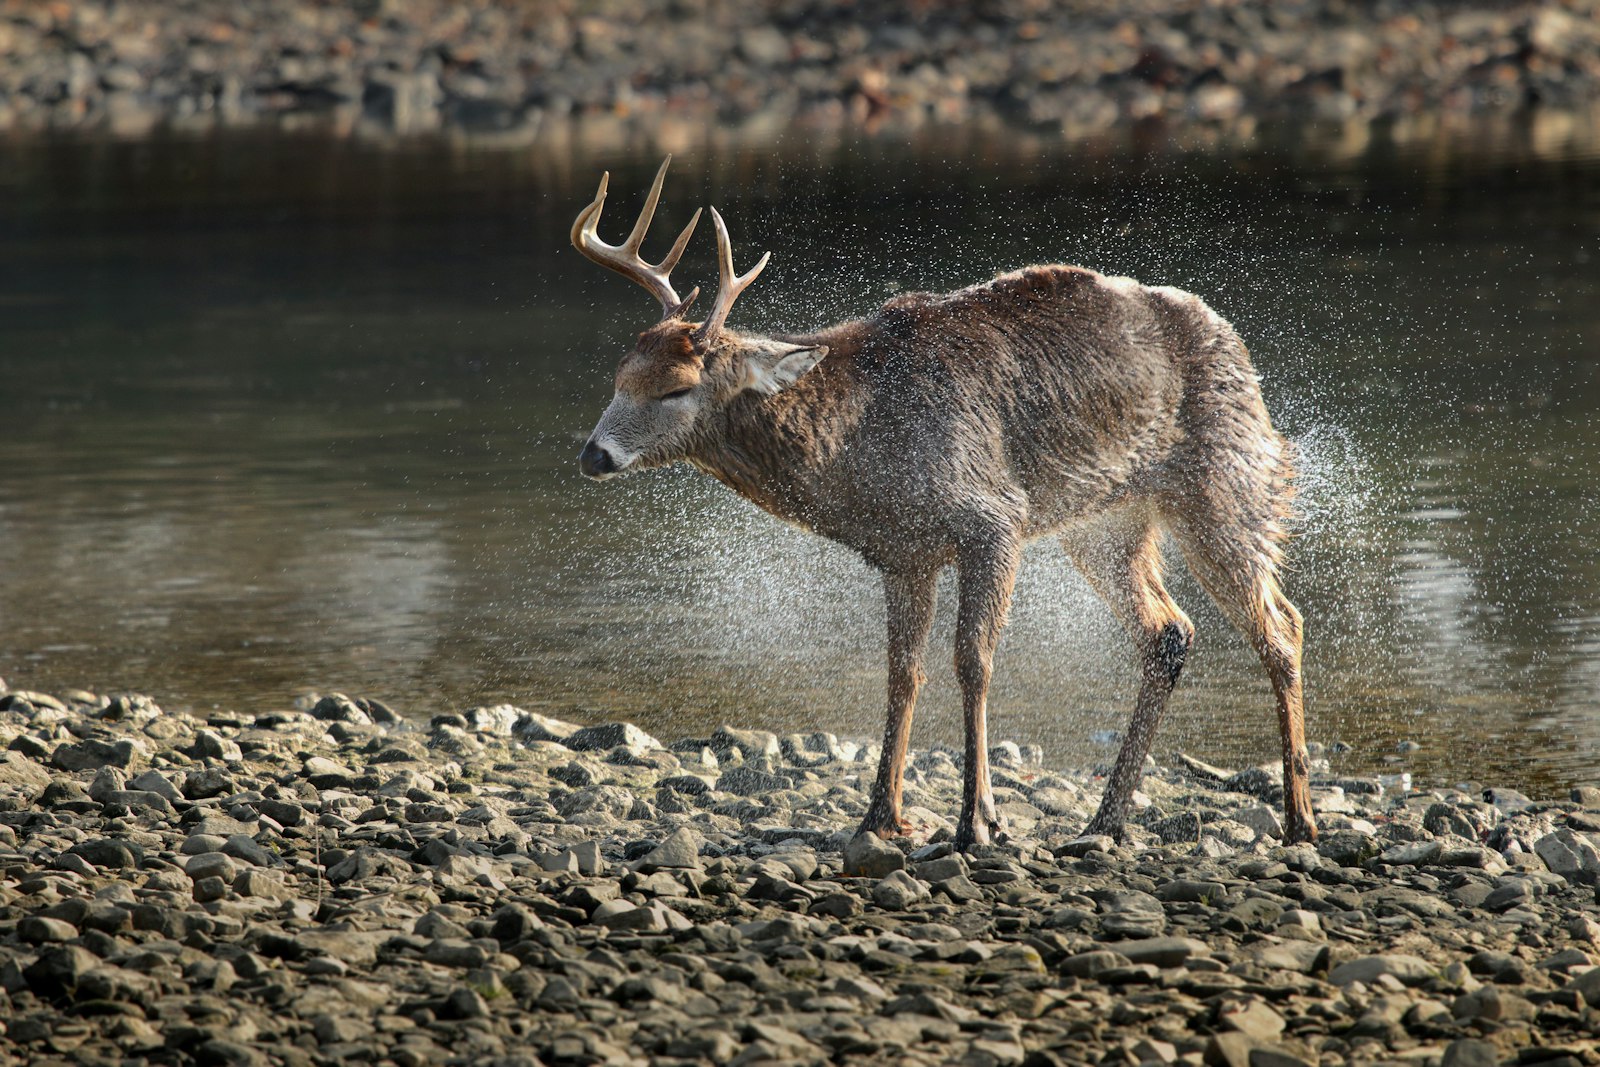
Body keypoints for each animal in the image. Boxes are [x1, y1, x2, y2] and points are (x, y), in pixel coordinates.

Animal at [569, 158, 1318, 857]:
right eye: (619, 376)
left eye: (677, 387)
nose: (593, 455)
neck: (861, 453)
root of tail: (1235, 342)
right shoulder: (904, 554)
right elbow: (904, 673)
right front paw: (879, 816)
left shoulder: (994, 517)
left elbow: (972, 660)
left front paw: (977, 820)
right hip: (1107, 524)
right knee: (1169, 629)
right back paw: (1103, 821)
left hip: (1225, 479)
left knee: (1282, 623)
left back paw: (1299, 819)